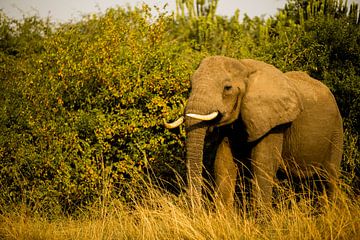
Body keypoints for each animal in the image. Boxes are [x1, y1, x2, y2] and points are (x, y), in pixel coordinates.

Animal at [166, 56, 344, 210]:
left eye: (227, 88)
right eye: (190, 85)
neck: (244, 67)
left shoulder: (274, 122)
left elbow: (263, 165)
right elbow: (224, 163)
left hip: (336, 129)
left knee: (328, 177)